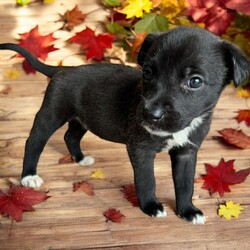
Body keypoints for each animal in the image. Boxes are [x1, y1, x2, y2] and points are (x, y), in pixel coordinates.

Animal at [0, 26, 249, 224]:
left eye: (195, 81)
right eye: (147, 72)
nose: (150, 113)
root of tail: (62, 69)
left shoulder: (187, 152)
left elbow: (185, 183)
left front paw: (188, 210)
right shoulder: (141, 150)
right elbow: (147, 180)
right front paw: (151, 206)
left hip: (83, 118)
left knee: (70, 136)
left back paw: (80, 158)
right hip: (51, 114)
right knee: (34, 142)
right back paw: (29, 176)